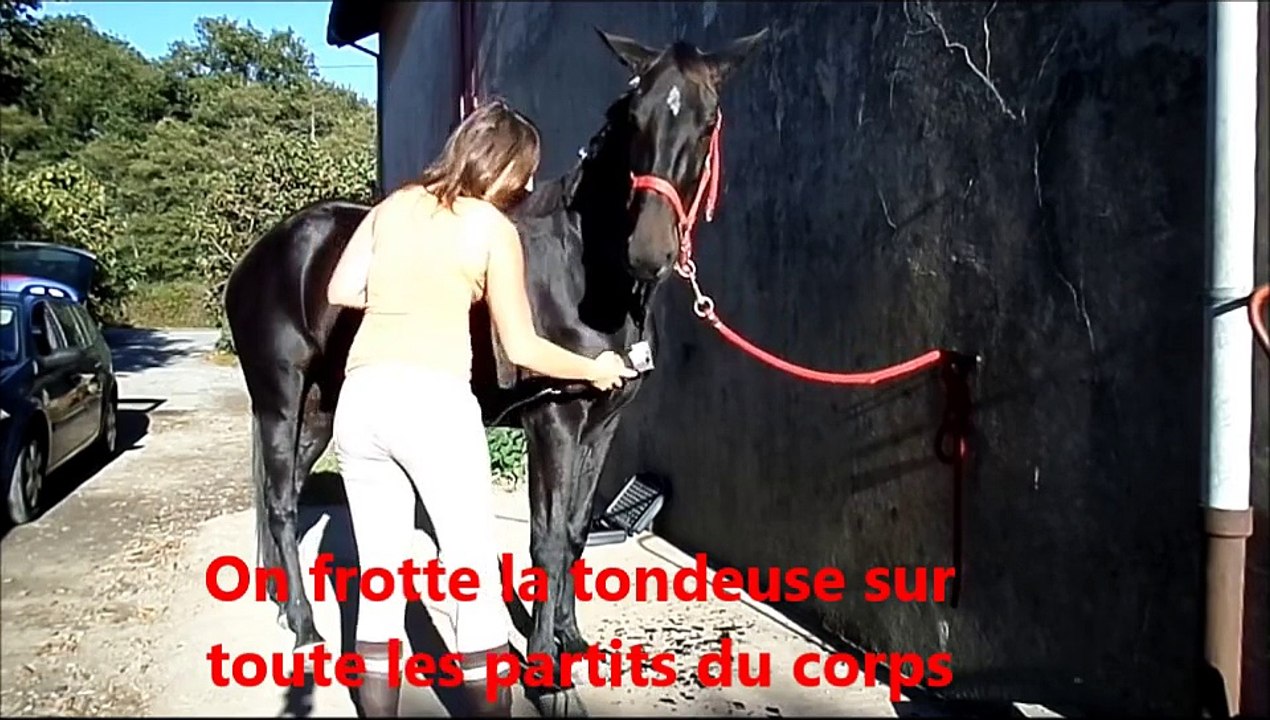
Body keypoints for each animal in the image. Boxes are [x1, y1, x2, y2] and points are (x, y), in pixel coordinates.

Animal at [223, 25, 768, 696]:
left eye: (708, 118)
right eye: (633, 117)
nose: (649, 252)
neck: (587, 276)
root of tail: (262, 253)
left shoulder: (604, 424)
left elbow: (576, 532)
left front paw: (570, 638)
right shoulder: (554, 420)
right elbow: (547, 541)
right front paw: (543, 671)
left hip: (323, 409)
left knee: (291, 497)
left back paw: (284, 606)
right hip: (280, 399)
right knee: (278, 502)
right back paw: (305, 629)